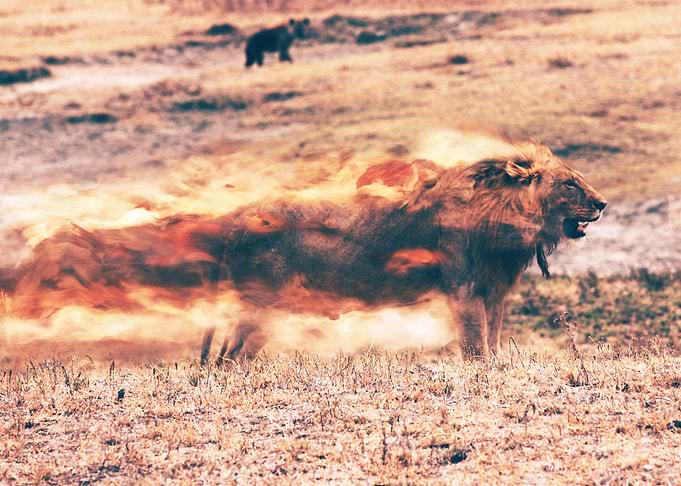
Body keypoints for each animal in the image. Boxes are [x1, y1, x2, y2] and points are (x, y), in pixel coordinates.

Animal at [200, 141, 607, 363]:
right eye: (569, 184)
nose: (603, 203)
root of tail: (235, 218)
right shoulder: (463, 290)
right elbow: (475, 348)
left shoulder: (494, 293)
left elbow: (492, 342)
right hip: (263, 305)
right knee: (229, 359)